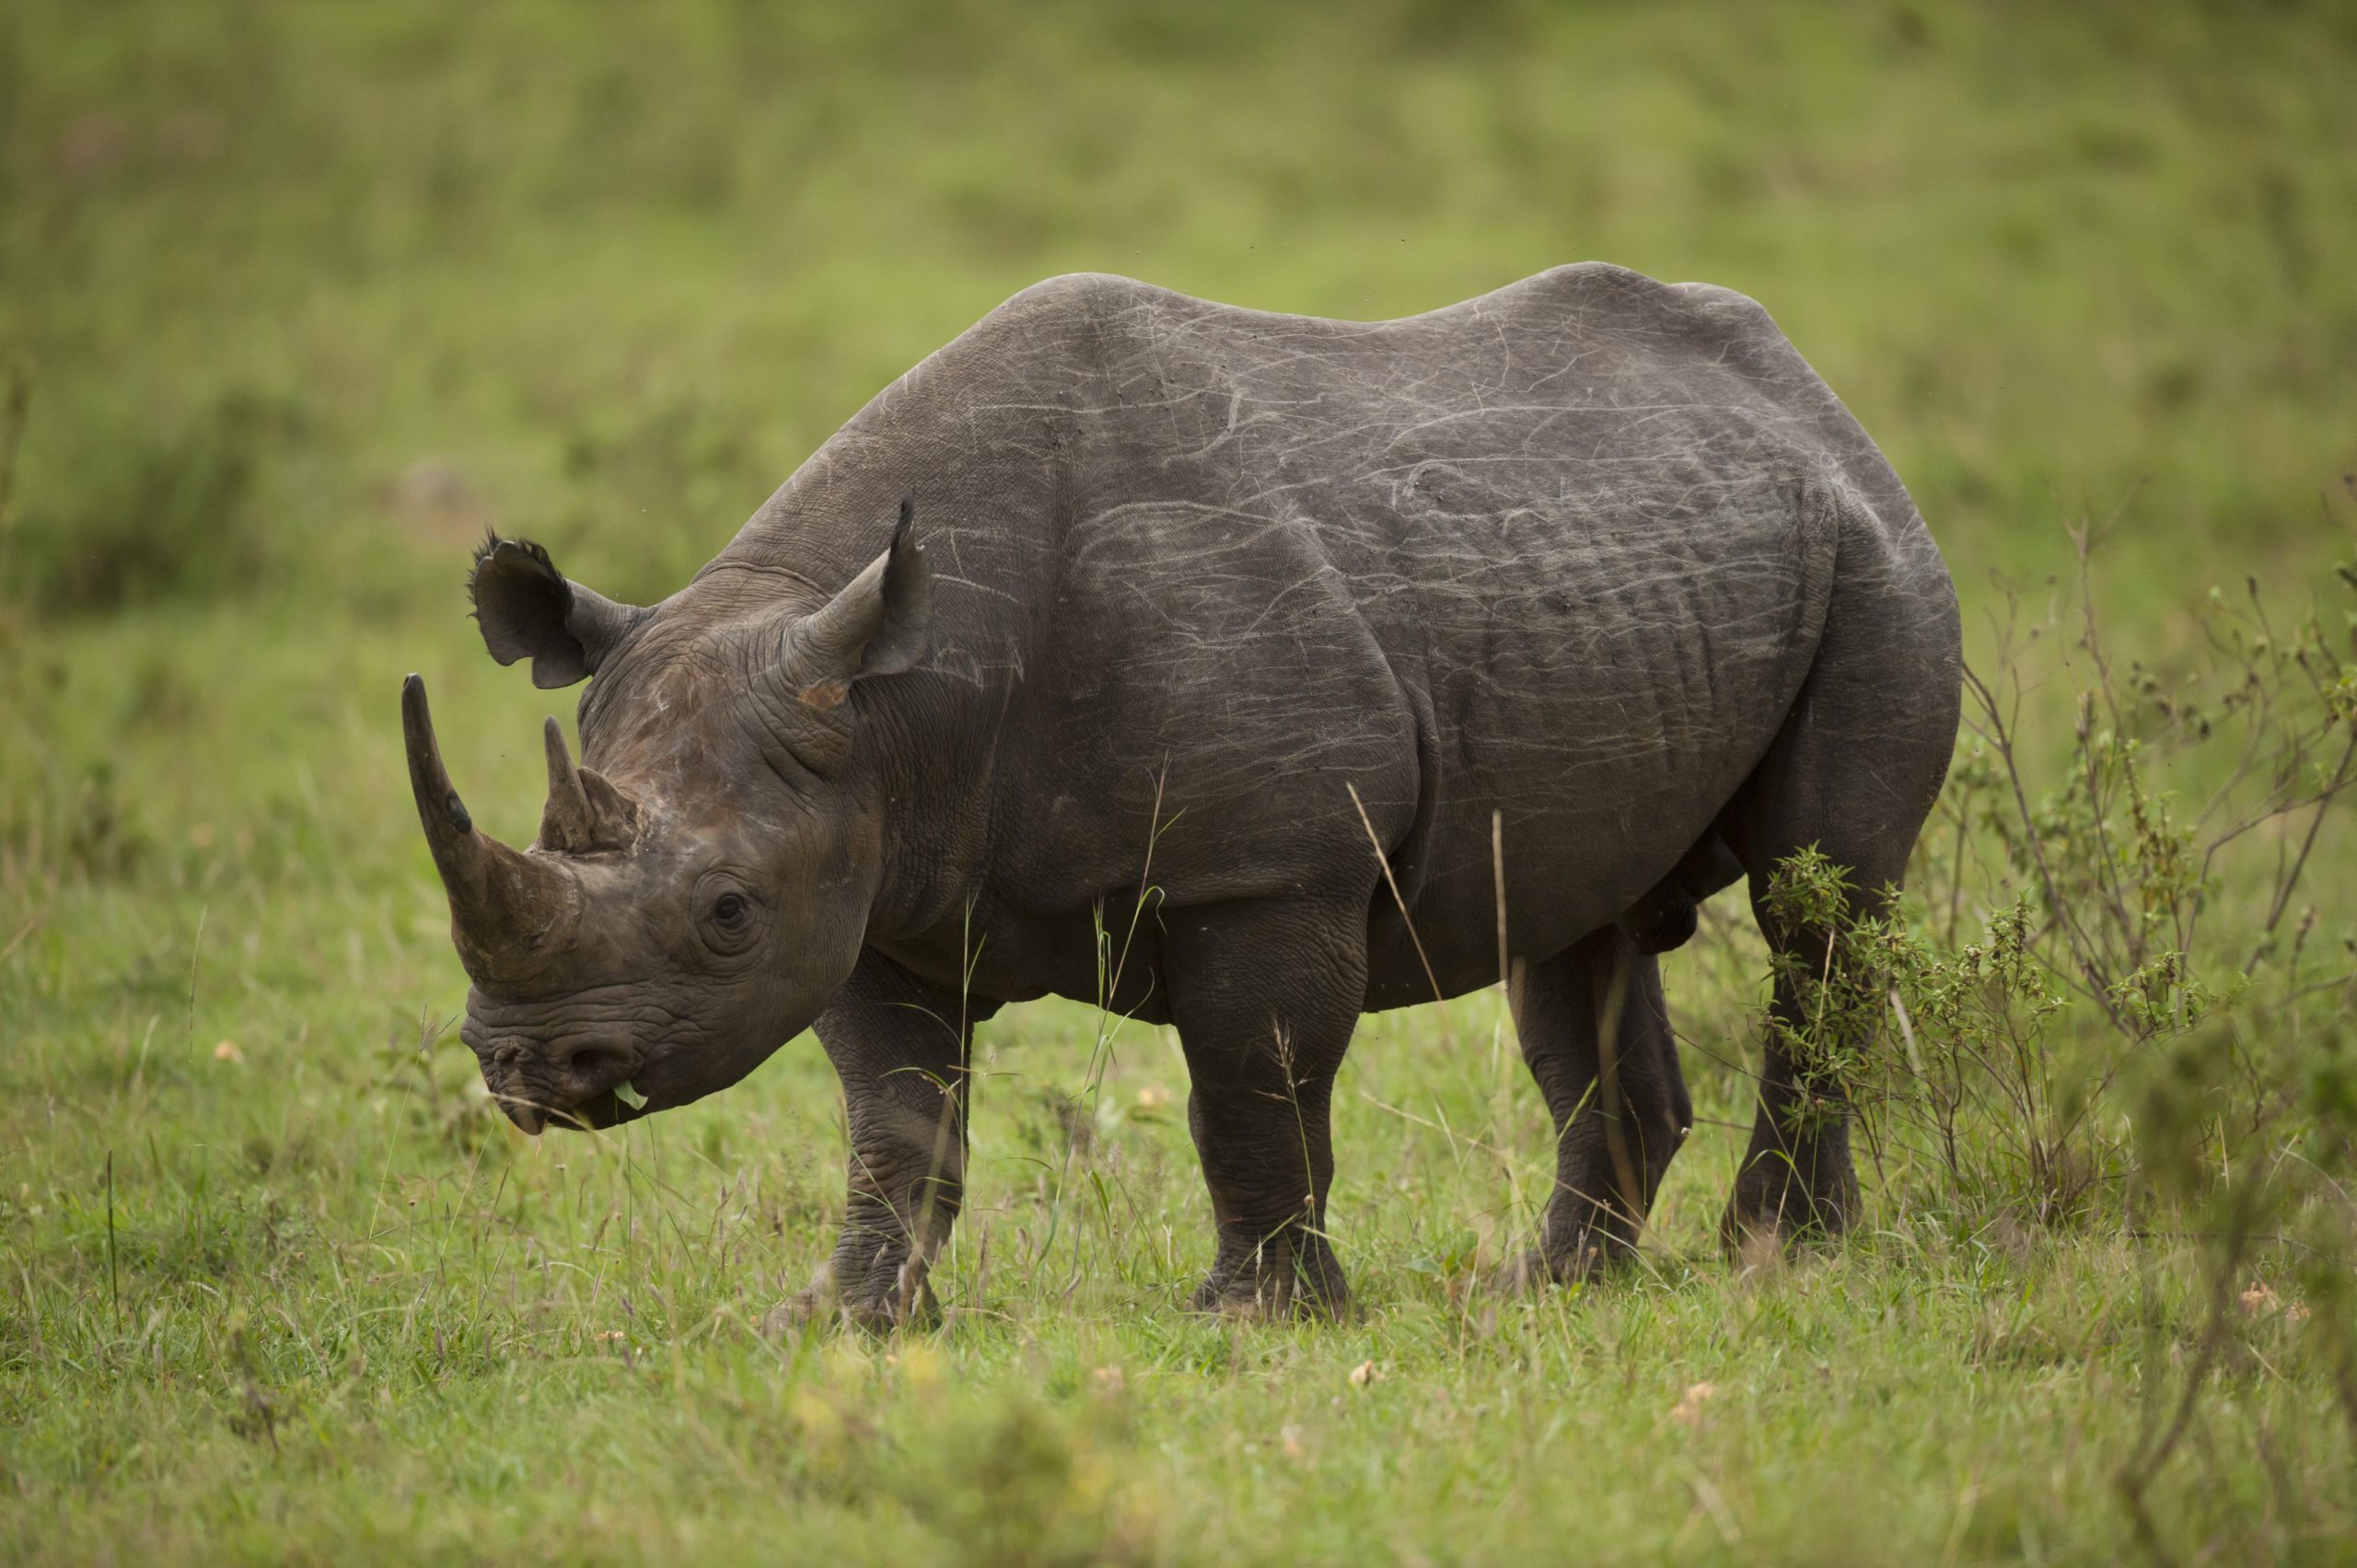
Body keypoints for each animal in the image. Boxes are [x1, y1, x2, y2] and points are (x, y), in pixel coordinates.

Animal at [401, 266, 1951, 1320]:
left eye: (724, 909)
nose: (530, 1069)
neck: (900, 700)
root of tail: (1807, 390)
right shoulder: (866, 881)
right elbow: (894, 1122)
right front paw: (846, 1320)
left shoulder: (1265, 861)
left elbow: (1250, 1082)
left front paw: (1255, 1317)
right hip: (1630, 568)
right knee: (1572, 929)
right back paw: (1553, 1285)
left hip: (1874, 547)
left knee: (1820, 902)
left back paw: (1778, 1254)